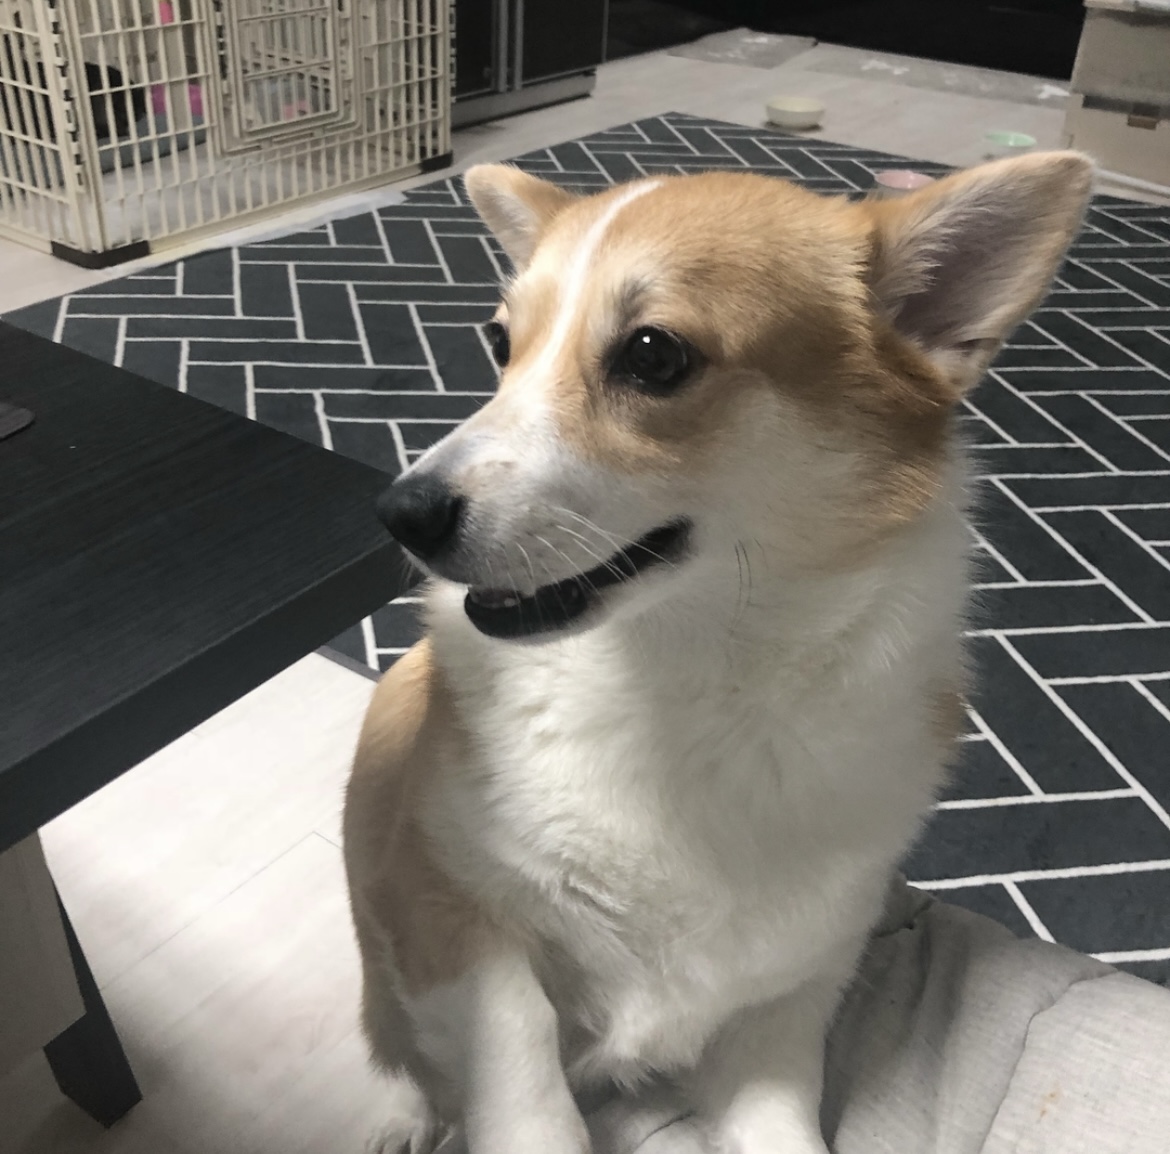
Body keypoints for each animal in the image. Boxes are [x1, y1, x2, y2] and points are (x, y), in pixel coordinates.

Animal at [343, 151, 1092, 1154]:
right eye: (502, 343)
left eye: (654, 355)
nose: (401, 514)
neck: (692, 680)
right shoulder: (451, 917)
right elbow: (524, 1083)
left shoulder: (785, 1006)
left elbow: (778, 1121)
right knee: (396, 1043)